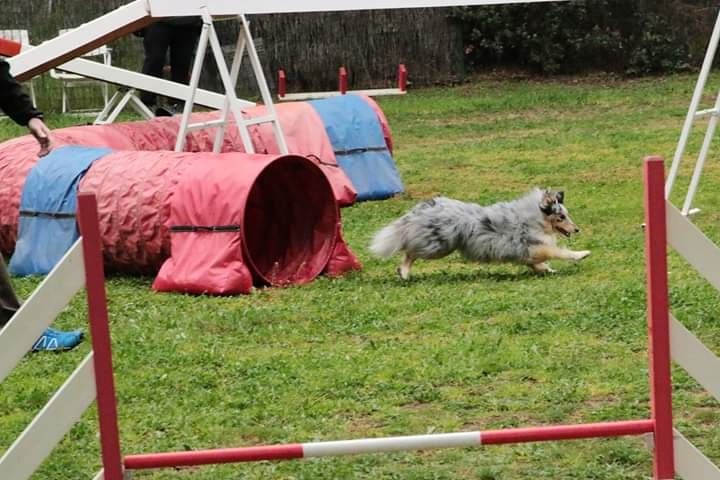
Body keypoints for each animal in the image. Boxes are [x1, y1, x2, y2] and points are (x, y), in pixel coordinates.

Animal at [372, 188, 592, 278]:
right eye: (561, 217)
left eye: (566, 215)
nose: (577, 229)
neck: (534, 218)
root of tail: (427, 206)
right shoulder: (536, 246)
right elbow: (560, 252)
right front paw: (582, 254)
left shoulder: (527, 253)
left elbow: (538, 265)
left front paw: (547, 270)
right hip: (438, 246)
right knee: (409, 251)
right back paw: (404, 271)